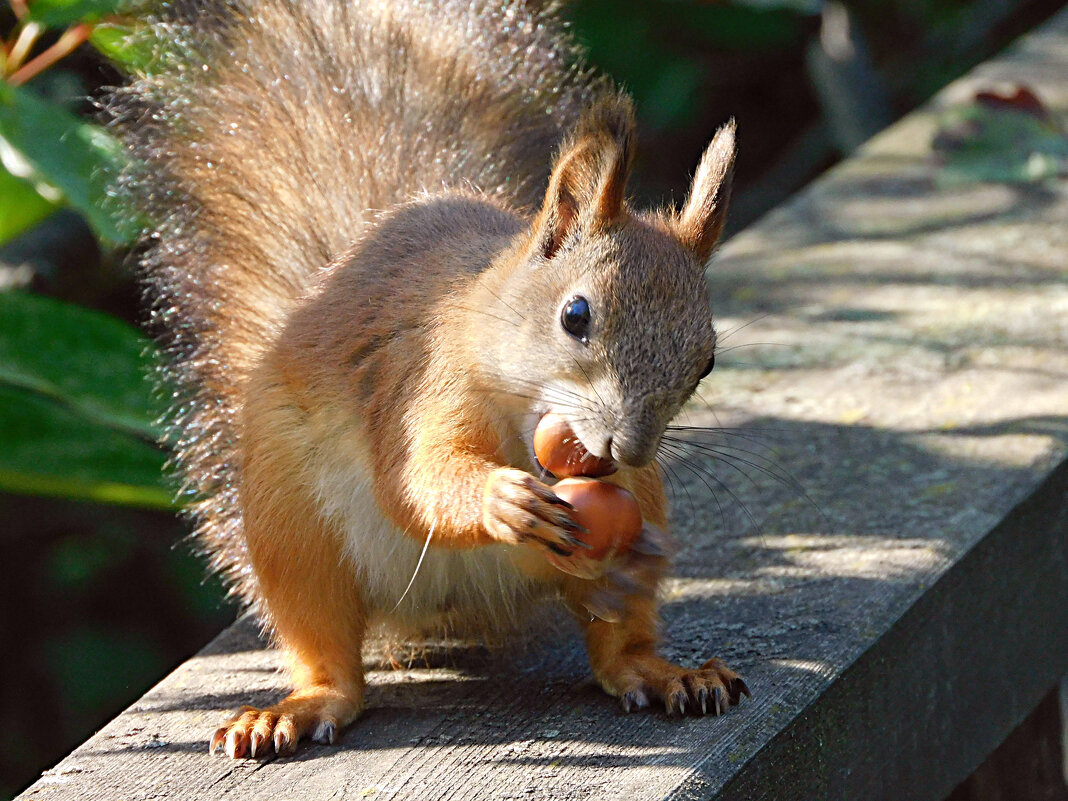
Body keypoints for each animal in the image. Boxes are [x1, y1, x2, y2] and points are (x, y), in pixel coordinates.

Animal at [108, 0, 743, 760]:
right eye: (576, 315)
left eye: (705, 361)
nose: (628, 448)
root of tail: (445, 608)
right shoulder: (419, 386)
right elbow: (415, 482)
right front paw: (500, 499)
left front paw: (640, 552)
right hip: (290, 528)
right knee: (325, 648)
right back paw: (296, 705)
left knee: (617, 647)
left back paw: (659, 665)